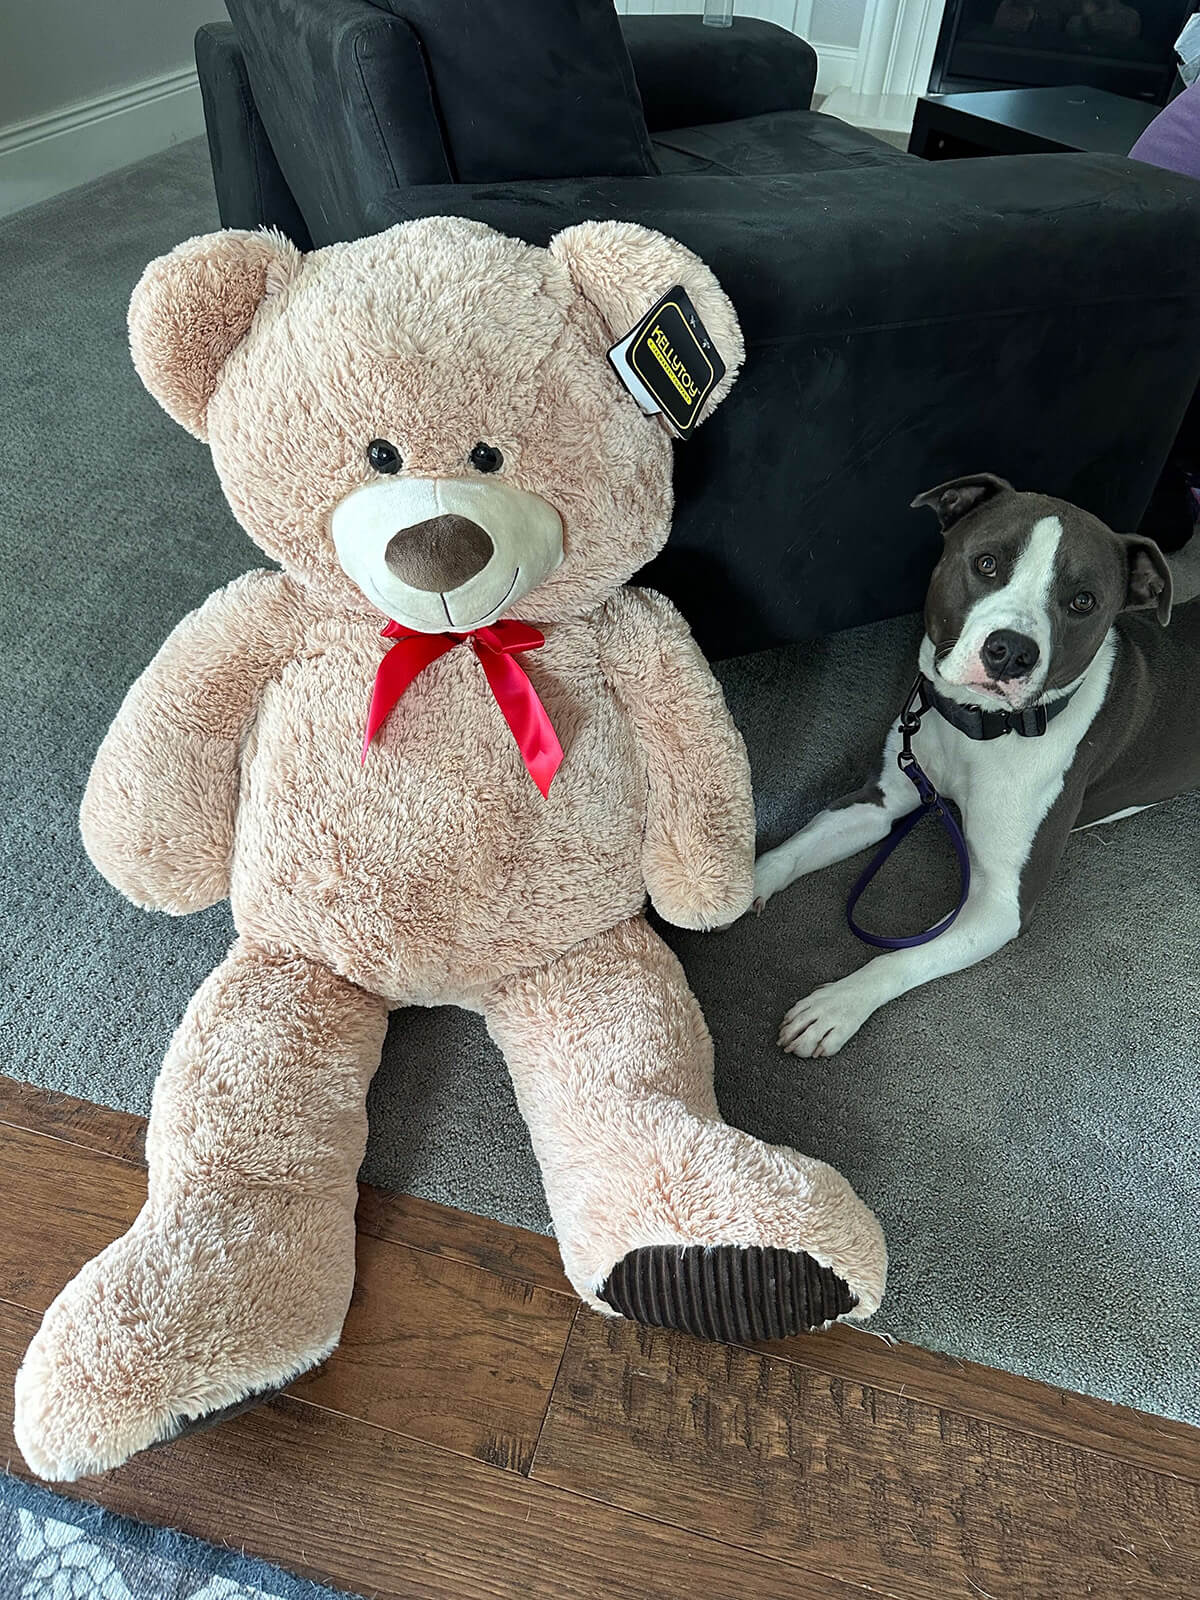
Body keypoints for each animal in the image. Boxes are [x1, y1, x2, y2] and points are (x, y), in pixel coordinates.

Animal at [755, 467, 1196, 1056]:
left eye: (1083, 601)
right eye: (986, 563)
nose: (1010, 651)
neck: (979, 727)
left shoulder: (999, 903)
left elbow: (902, 957)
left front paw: (837, 1005)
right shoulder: (879, 799)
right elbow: (792, 850)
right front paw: (736, 885)